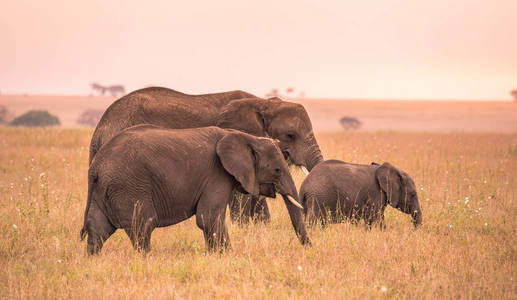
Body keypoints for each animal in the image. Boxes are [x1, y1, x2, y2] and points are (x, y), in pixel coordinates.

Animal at [78, 125, 308, 254]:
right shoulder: (217, 174)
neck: (245, 137)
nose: (309, 248)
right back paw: (146, 259)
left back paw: (93, 261)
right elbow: (208, 218)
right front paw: (225, 257)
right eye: (277, 170)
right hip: (129, 186)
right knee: (143, 226)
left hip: (107, 189)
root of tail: (96, 166)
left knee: (98, 229)